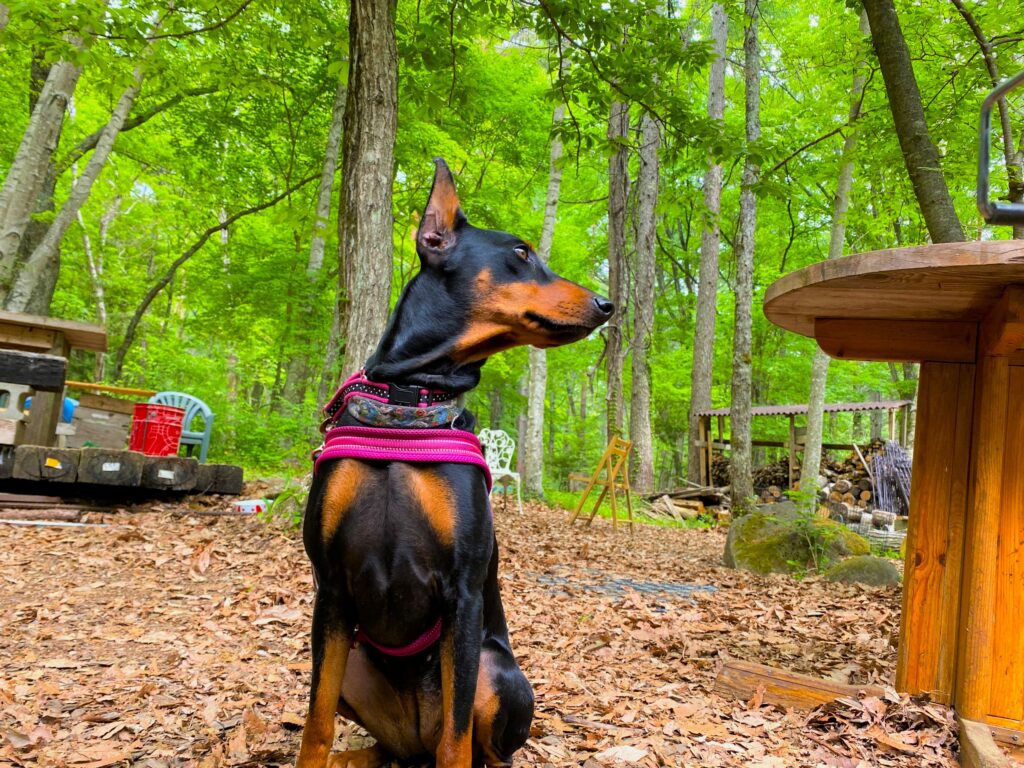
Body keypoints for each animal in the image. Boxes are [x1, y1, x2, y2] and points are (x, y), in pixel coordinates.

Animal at [299, 159, 614, 765]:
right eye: (520, 253)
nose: (608, 304)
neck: (408, 404)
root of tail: (410, 736)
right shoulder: (330, 591)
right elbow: (316, 725)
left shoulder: (463, 593)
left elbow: (457, 733)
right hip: (354, 663)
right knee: (384, 747)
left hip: (498, 673)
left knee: (477, 746)